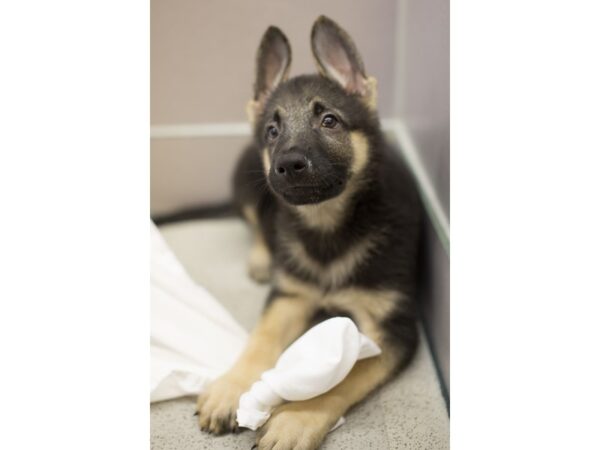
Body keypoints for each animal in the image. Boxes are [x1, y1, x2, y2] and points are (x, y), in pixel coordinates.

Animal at [198, 14, 422, 450]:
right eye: (272, 131)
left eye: (329, 120)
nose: (287, 165)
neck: (327, 226)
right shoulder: (291, 295)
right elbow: (260, 340)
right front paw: (231, 386)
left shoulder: (392, 331)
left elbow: (344, 380)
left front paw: (296, 419)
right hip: (249, 186)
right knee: (258, 225)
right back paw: (262, 259)